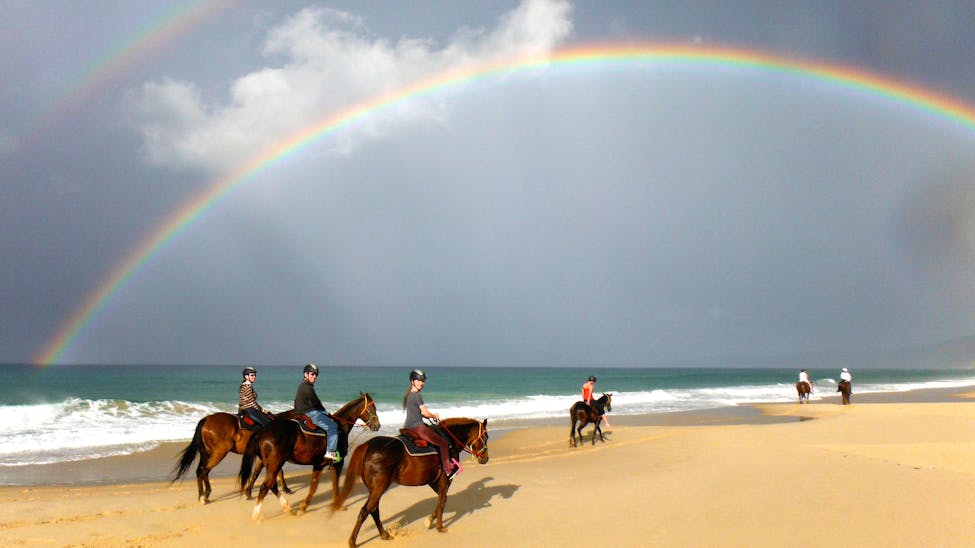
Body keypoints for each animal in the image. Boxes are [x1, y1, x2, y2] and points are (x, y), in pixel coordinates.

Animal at [240, 392, 382, 520]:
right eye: (372, 408)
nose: (377, 425)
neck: (340, 427)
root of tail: (262, 431)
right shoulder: (338, 463)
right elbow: (335, 484)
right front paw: (337, 505)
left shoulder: (318, 465)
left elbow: (313, 487)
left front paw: (303, 507)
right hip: (276, 463)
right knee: (266, 486)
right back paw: (256, 514)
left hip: (271, 464)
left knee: (272, 485)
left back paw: (287, 508)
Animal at [332, 418, 492, 544]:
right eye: (486, 436)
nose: (485, 459)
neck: (449, 440)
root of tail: (367, 445)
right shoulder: (445, 480)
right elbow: (442, 502)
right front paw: (439, 526)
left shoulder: (434, 481)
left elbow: (442, 499)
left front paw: (430, 520)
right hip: (379, 487)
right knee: (366, 510)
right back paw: (353, 541)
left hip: (374, 489)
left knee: (373, 510)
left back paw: (384, 534)